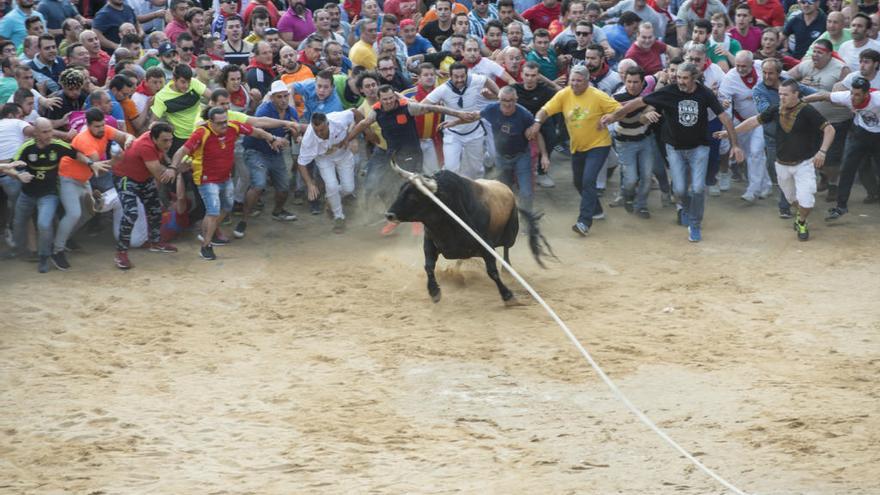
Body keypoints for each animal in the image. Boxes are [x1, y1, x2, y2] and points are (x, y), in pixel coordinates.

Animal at [384, 167, 552, 304]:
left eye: (414, 197)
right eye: (400, 191)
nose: (389, 215)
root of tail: (508, 191)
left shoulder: (487, 247)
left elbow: (492, 272)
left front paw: (508, 296)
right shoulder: (429, 242)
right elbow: (429, 267)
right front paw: (434, 292)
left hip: (511, 234)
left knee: (506, 249)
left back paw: (507, 268)